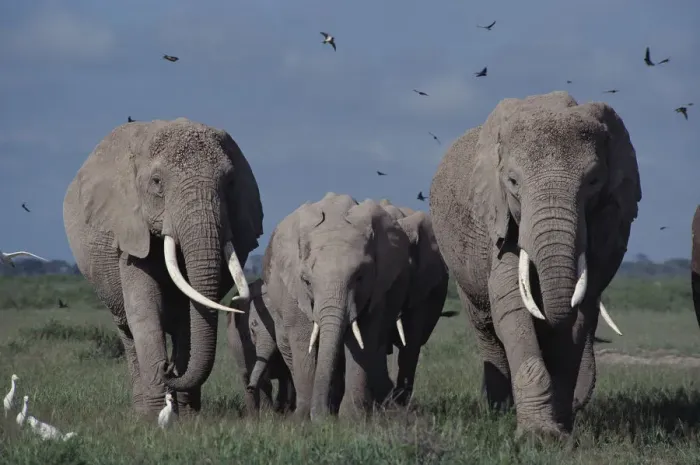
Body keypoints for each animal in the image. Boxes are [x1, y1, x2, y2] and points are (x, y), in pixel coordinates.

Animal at [63, 118, 263, 416]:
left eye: (230, 182)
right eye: (156, 182)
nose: (167, 369)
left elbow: (191, 315)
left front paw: (189, 416)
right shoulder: (130, 231)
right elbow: (144, 309)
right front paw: (156, 415)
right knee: (127, 331)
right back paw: (142, 409)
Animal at [262, 192, 411, 421]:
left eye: (359, 277)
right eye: (306, 281)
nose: (323, 417)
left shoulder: (376, 289)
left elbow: (363, 338)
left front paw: (351, 418)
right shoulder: (294, 291)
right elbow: (303, 339)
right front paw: (305, 419)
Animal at [429, 91, 641, 438]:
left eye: (594, 181)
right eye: (513, 181)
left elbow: (580, 312)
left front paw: (560, 429)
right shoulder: (496, 219)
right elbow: (511, 304)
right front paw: (537, 436)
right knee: (486, 327)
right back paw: (498, 412)